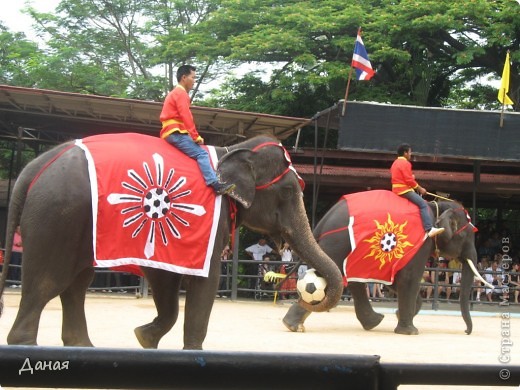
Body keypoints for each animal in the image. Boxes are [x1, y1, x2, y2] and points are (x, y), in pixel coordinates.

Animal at [1, 135, 346, 350]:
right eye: (288, 191)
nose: (304, 289)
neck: (233, 149)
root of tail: (34, 166)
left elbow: (164, 281)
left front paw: (143, 338)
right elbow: (204, 281)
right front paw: (190, 350)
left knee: (75, 284)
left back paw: (83, 347)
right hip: (56, 218)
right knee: (49, 281)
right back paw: (27, 346)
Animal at [282, 191, 490, 336]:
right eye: (466, 236)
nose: (466, 332)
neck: (436, 205)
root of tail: (323, 220)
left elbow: (398, 281)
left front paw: (400, 314)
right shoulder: (422, 244)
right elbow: (409, 279)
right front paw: (410, 332)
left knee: (349, 279)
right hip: (339, 243)